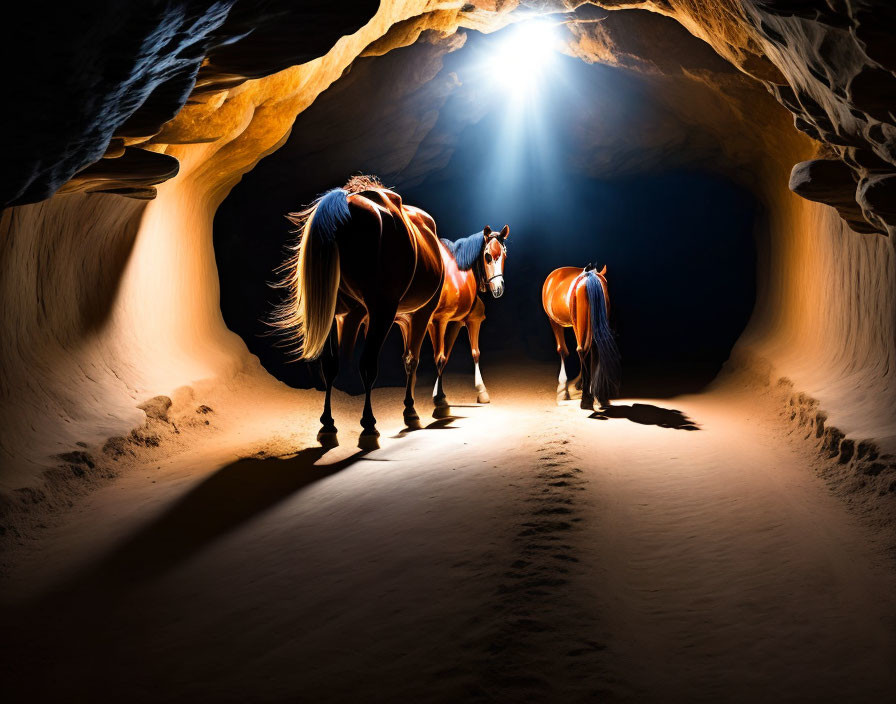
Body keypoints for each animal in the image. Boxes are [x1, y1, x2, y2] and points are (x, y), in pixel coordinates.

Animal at [272, 175, 442, 446]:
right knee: (373, 363)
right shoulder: (393, 312)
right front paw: (375, 421)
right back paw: (377, 420)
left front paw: (329, 424)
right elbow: (385, 363)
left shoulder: (344, 315)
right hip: (388, 313)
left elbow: (334, 365)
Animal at [544, 262, 620, 408]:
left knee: (580, 349)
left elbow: (563, 350)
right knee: (592, 350)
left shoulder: (555, 321)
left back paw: (585, 397)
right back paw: (597, 396)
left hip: (572, 323)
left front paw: (564, 389)